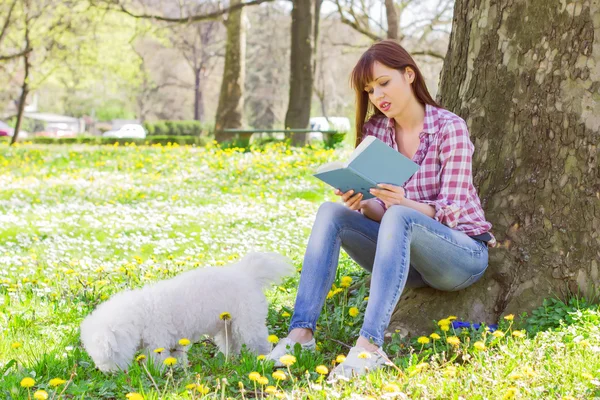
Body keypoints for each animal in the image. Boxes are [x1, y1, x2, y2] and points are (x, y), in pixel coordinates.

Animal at [79, 253, 296, 372]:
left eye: (110, 354)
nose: (107, 372)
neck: (139, 315)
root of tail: (246, 273)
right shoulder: (174, 342)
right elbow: (177, 357)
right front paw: (176, 369)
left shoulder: (158, 342)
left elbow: (158, 360)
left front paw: (158, 372)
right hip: (227, 324)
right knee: (231, 342)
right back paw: (229, 358)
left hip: (249, 323)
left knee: (258, 342)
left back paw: (262, 358)